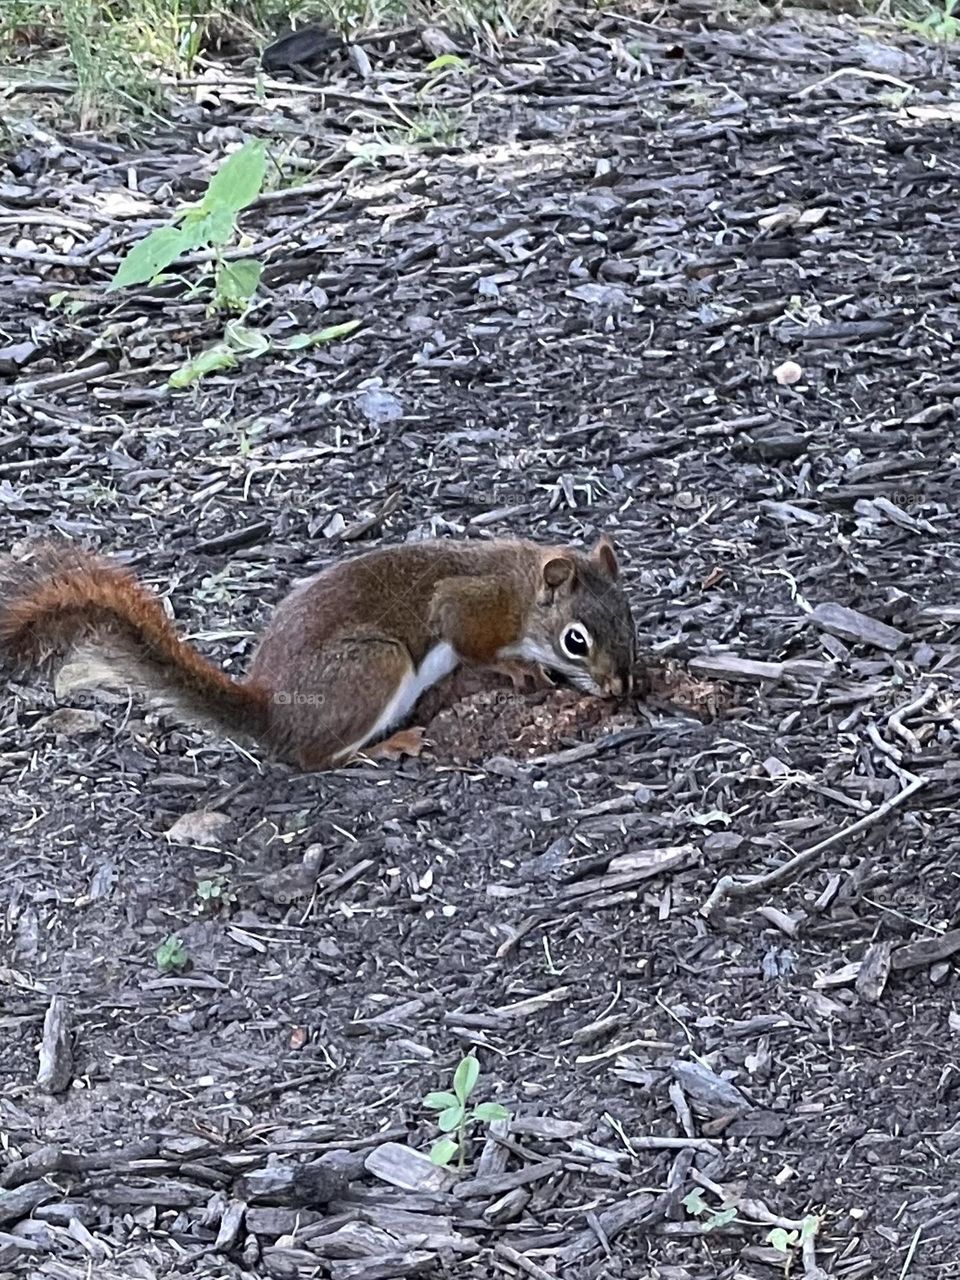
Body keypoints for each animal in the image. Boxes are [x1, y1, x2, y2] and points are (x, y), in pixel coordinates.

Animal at [1, 537, 640, 768]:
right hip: (376, 663)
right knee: (318, 759)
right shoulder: (470, 604)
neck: (523, 586)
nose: (618, 688)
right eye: (576, 640)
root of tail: (271, 714)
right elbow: (470, 642)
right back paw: (390, 744)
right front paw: (515, 666)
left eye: (631, 622)